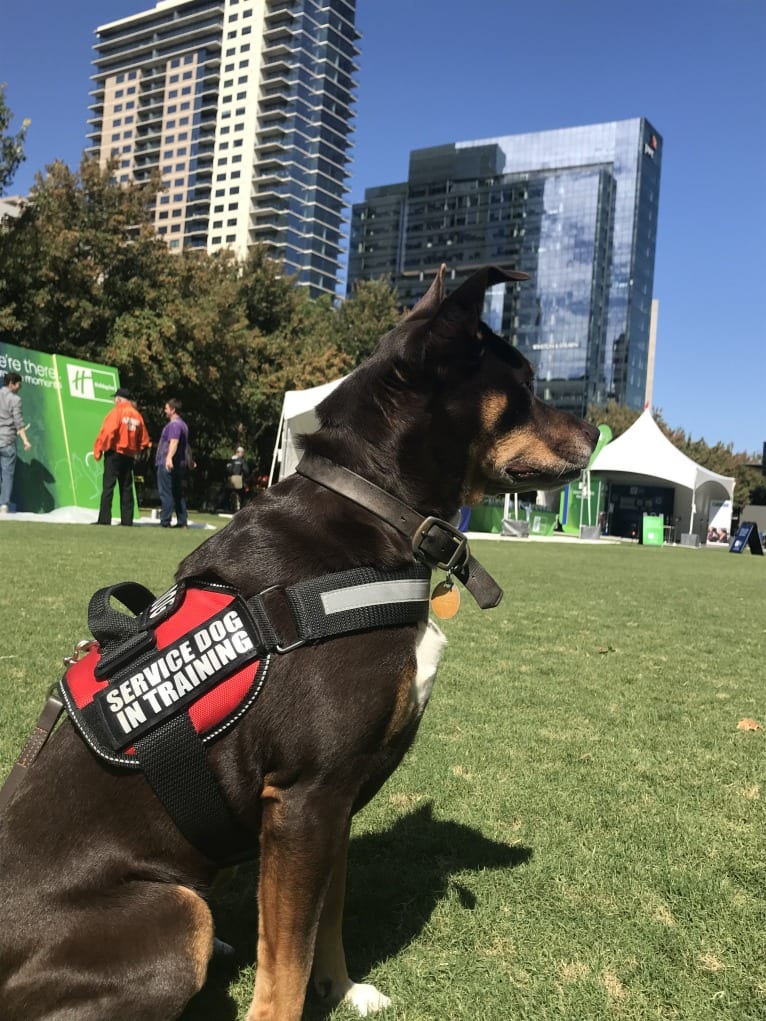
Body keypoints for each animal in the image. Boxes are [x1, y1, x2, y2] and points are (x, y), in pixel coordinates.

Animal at [0, 267, 600, 1016]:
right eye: (521, 381)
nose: (598, 426)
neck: (371, 505)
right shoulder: (303, 797)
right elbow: (284, 962)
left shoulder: (334, 798)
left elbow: (326, 921)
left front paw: (342, 990)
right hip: (177, 911)